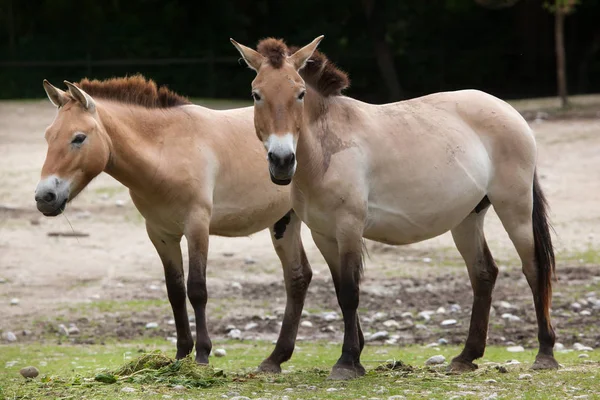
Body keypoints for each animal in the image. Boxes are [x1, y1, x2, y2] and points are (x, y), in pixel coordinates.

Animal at [35, 76, 312, 372]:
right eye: (48, 136)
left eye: (79, 137)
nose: (44, 197)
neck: (166, 149)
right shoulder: (161, 234)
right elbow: (175, 291)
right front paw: (181, 354)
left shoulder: (197, 227)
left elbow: (197, 289)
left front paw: (202, 354)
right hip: (285, 221)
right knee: (298, 277)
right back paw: (275, 358)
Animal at [231, 36, 556, 378]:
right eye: (256, 94)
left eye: (300, 93)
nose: (281, 161)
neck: (325, 150)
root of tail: (510, 111)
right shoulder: (324, 235)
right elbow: (340, 291)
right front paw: (353, 356)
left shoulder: (348, 228)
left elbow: (350, 292)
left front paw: (347, 362)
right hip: (467, 218)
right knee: (483, 274)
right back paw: (466, 356)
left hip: (514, 208)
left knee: (534, 267)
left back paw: (545, 353)